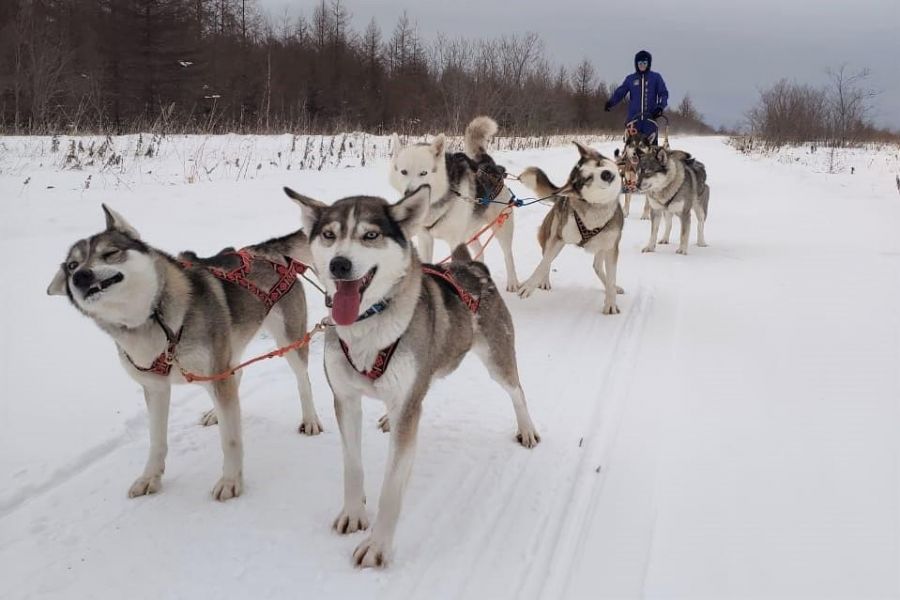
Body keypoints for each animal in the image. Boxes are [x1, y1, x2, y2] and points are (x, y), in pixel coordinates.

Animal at [46, 206, 320, 502]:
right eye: (71, 265)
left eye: (110, 253)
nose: (80, 276)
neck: (152, 320)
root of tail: (265, 250)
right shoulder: (155, 388)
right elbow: (156, 440)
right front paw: (150, 477)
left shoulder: (214, 372)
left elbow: (230, 439)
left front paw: (230, 480)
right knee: (236, 373)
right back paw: (215, 412)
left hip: (289, 340)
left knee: (303, 381)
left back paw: (310, 419)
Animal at [286, 184, 540, 568]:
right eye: (329, 235)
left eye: (370, 235)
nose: (339, 265)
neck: (369, 325)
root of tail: (470, 266)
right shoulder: (346, 400)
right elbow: (352, 466)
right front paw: (354, 513)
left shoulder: (407, 408)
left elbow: (392, 487)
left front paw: (378, 546)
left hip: (498, 361)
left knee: (518, 392)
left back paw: (526, 429)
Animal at [386, 116, 520, 292]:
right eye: (403, 172)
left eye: (424, 173)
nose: (409, 193)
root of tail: (487, 163)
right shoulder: (425, 239)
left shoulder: (455, 242)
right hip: (469, 233)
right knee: (480, 253)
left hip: (501, 228)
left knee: (508, 255)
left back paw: (513, 282)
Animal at [516, 143, 624, 316]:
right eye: (587, 179)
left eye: (599, 164)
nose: (606, 174)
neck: (596, 211)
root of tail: (561, 196)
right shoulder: (559, 238)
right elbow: (543, 264)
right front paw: (529, 285)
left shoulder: (611, 247)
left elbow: (611, 277)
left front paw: (611, 302)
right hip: (552, 235)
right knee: (546, 257)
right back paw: (544, 281)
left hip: (600, 247)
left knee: (597, 267)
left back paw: (612, 287)